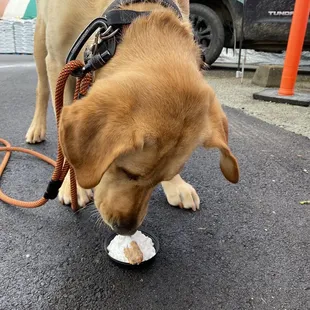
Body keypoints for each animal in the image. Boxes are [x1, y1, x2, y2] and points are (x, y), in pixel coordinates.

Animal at [26, 0, 240, 234]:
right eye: (126, 171)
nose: (126, 229)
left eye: (162, 178)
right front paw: (72, 187)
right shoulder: (58, 61)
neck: (133, 11)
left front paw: (176, 185)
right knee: (41, 89)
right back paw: (36, 129)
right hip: (40, 42)